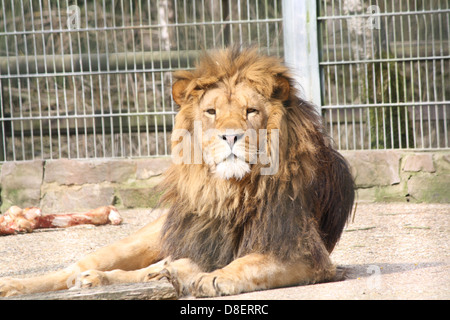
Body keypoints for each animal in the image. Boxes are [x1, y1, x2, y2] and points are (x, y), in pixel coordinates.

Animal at [0, 47, 356, 298]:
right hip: (147, 238)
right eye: (211, 111)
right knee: (79, 267)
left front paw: (216, 277)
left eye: (251, 111)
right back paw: (23, 285)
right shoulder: (205, 241)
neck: (232, 189)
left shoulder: (304, 251)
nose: (230, 136)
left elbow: (251, 263)